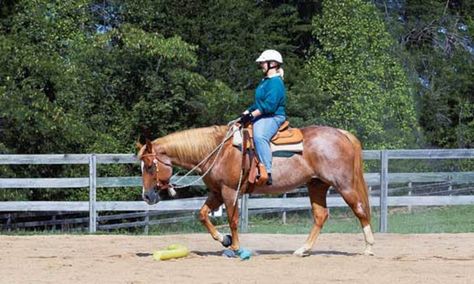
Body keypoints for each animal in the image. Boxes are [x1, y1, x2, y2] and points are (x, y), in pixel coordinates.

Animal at [136, 125, 374, 256]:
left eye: (149, 166)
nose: (147, 196)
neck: (217, 151)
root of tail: (342, 134)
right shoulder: (216, 192)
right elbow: (203, 215)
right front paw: (224, 240)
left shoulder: (230, 192)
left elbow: (232, 220)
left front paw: (236, 247)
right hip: (316, 185)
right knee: (320, 215)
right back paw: (302, 249)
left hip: (344, 185)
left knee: (360, 209)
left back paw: (369, 247)